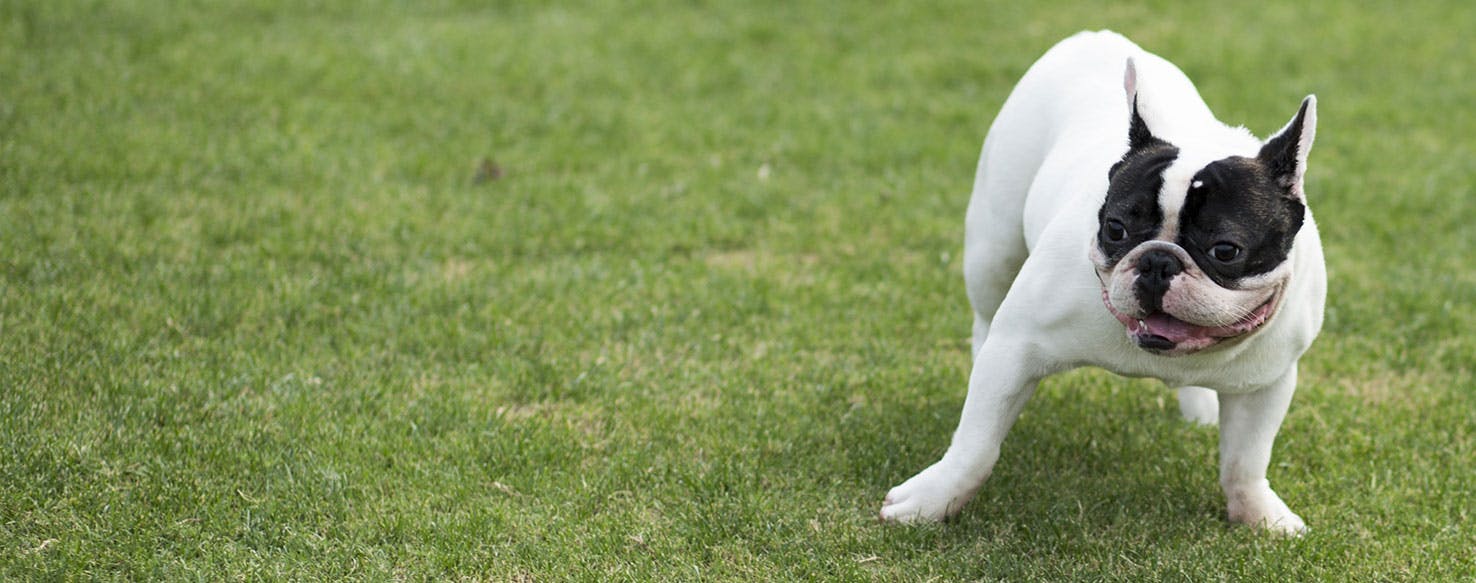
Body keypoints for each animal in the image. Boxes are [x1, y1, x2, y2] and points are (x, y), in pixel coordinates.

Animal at [873, 29, 1328, 537]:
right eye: (1115, 229)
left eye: (1225, 251)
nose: (1157, 261)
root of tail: (1093, 37)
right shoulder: (1016, 347)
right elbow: (975, 446)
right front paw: (931, 502)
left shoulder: (1267, 384)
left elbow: (1245, 462)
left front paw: (1259, 516)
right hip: (993, 248)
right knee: (985, 316)